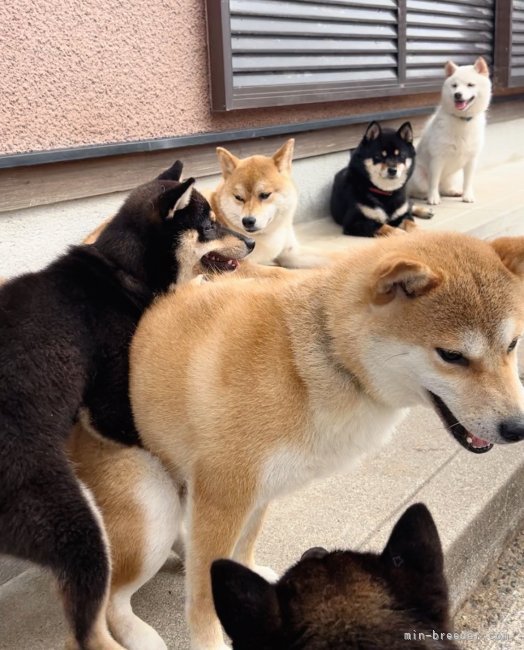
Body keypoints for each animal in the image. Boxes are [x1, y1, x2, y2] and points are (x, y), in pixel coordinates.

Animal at [0, 158, 254, 648]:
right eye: (209, 223)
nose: (251, 240)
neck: (122, 269)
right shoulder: (112, 394)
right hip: (72, 525)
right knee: (91, 626)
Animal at [410, 58, 492, 205]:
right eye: (454, 86)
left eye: (470, 85)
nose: (457, 94)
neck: (463, 120)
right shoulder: (437, 159)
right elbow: (433, 182)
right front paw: (433, 197)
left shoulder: (471, 160)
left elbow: (468, 181)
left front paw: (467, 195)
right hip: (417, 175)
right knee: (417, 190)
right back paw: (424, 195)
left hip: (454, 175)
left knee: (444, 188)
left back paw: (452, 191)